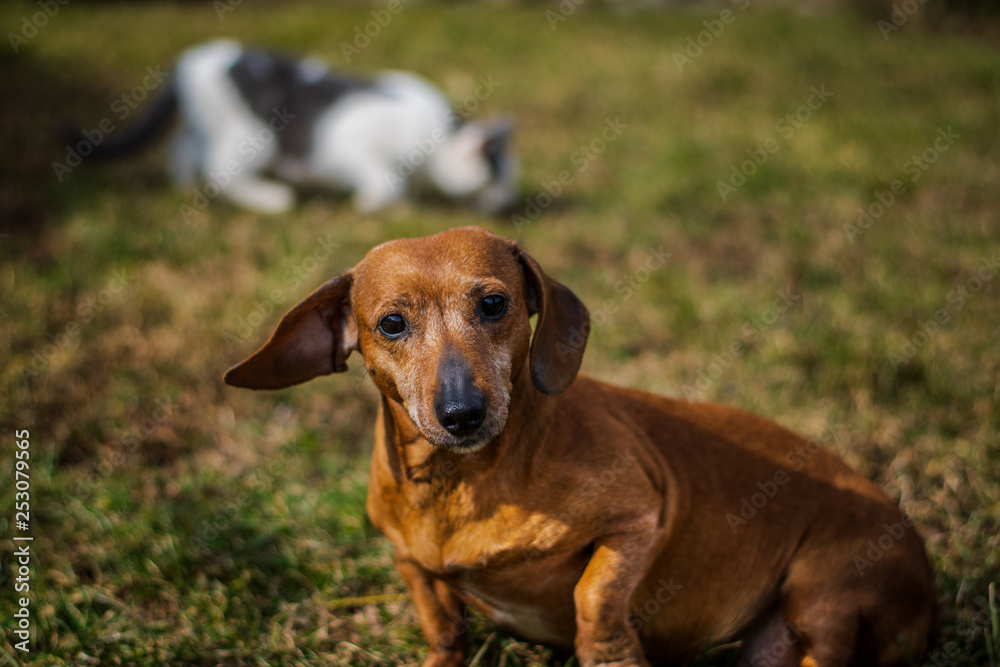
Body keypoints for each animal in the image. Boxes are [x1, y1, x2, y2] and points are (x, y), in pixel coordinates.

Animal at [64, 41, 516, 214]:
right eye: (497, 177)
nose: (506, 202)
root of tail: (190, 60)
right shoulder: (350, 146)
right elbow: (387, 180)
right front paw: (370, 202)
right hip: (254, 138)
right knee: (218, 169)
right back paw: (269, 198)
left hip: (209, 124)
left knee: (184, 146)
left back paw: (183, 187)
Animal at [227, 227, 936, 664]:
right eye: (392, 323)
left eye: (494, 304)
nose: (461, 414)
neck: (462, 484)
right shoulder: (410, 562)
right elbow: (444, 627)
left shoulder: (638, 519)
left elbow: (593, 601)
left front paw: (608, 654)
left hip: (823, 596)